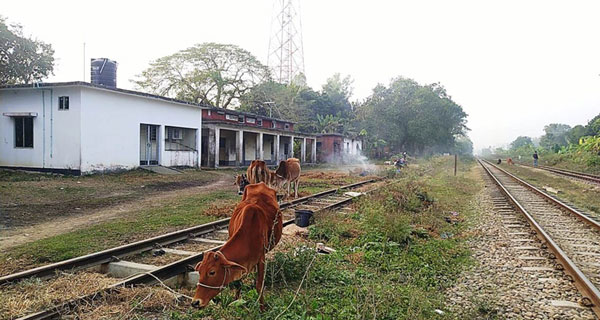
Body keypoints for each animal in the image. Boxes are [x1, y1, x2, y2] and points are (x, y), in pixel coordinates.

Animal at [191, 182, 282, 310]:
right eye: (199, 272)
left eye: (212, 272)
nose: (195, 302)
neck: (249, 235)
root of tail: (260, 183)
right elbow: (238, 283)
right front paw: (236, 301)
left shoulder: (261, 259)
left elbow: (259, 285)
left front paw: (262, 308)